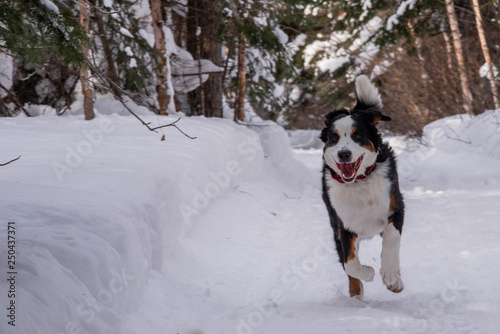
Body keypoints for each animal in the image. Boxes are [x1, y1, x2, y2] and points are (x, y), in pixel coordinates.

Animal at [320, 75, 406, 300]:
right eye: (334, 137)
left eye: (357, 136)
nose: (344, 154)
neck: (360, 182)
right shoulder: (344, 225)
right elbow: (349, 263)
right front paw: (367, 275)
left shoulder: (396, 208)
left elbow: (392, 239)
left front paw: (390, 274)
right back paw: (356, 293)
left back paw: (395, 281)